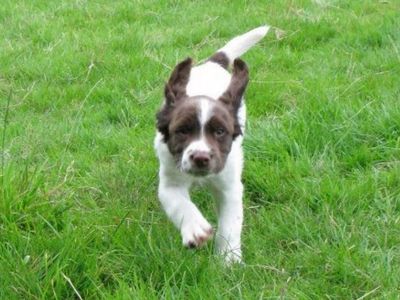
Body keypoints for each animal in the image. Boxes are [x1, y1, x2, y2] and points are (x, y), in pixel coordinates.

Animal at [153, 25, 268, 262]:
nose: (200, 158)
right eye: (182, 131)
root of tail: (211, 64)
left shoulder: (230, 186)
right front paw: (195, 229)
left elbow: (230, 225)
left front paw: (229, 259)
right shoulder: (170, 181)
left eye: (220, 132)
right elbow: (181, 205)